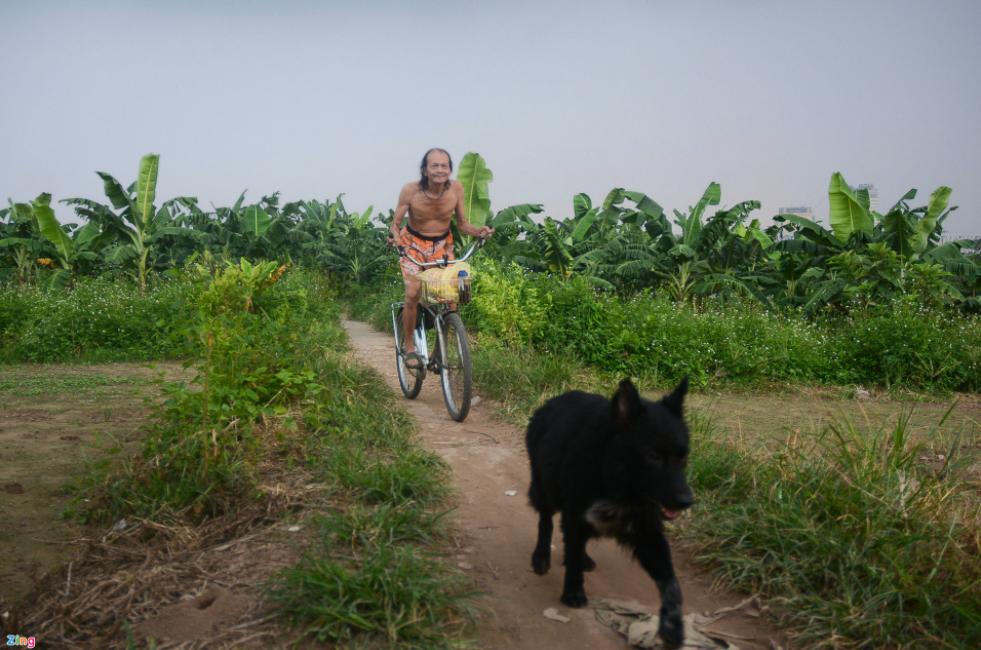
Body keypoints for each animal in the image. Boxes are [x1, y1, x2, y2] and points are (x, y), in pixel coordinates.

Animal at [524, 378, 692, 644]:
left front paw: (672, 625)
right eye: (653, 455)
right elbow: (571, 554)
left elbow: (671, 582)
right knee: (546, 522)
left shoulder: (646, 531)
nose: (687, 501)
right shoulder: (574, 515)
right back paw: (541, 556)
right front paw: (573, 591)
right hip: (544, 490)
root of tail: (553, 400)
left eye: (683, 458)